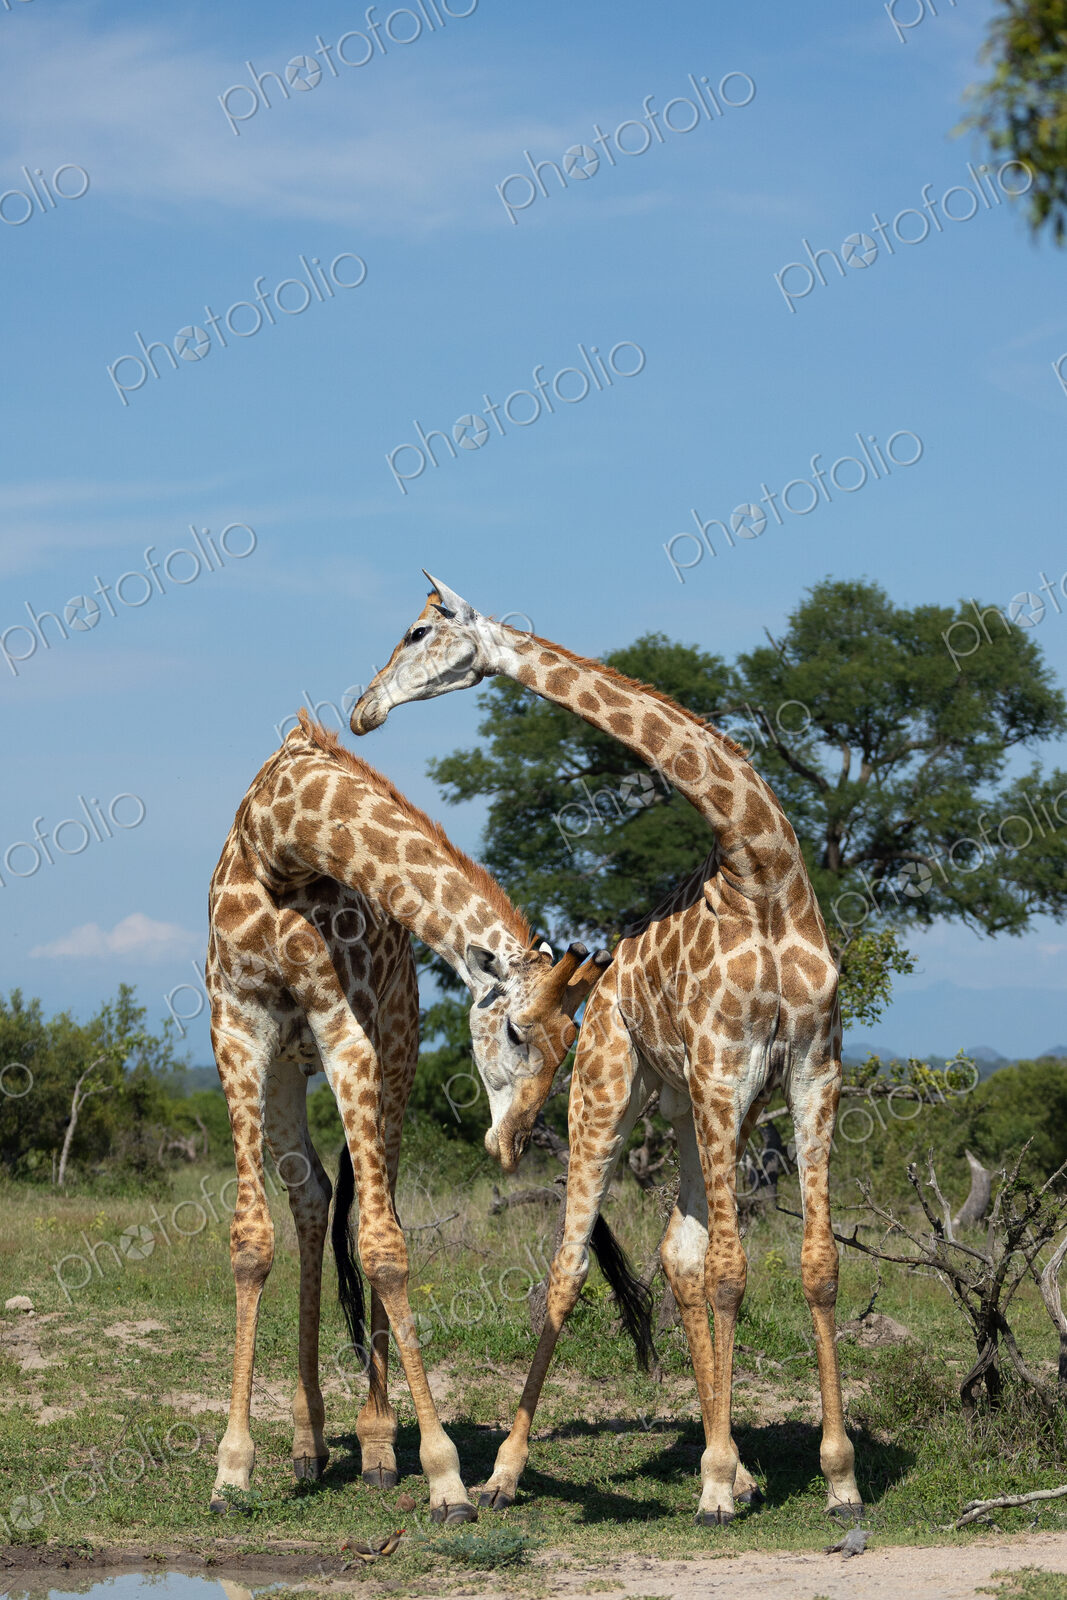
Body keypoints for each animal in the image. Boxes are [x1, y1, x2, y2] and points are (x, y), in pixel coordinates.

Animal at [207, 709, 608, 1523]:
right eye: (516, 1032)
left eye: (571, 1047)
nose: (513, 1143)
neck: (280, 840)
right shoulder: (237, 1023)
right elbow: (250, 1240)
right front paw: (231, 1471)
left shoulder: (348, 1029)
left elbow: (385, 1248)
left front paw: (444, 1477)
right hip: (287, 1068)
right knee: (312, 1198)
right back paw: (307, 1443)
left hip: (393, 1048)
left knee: (372, 1209)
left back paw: (376, 1447)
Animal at [349, 576, 864, 1527]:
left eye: (414, 633)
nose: (363, 710)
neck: (764, 873)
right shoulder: (725, 1066)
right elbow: (734, 1271)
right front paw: (713, 1486)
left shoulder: (812, 1070)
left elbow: (815, 1267)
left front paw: (838, 1479)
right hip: (611, 1091)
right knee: (571, 1266)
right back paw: (505, 1474)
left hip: (694, 1107)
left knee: (678, 1254)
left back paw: (735, 1467)